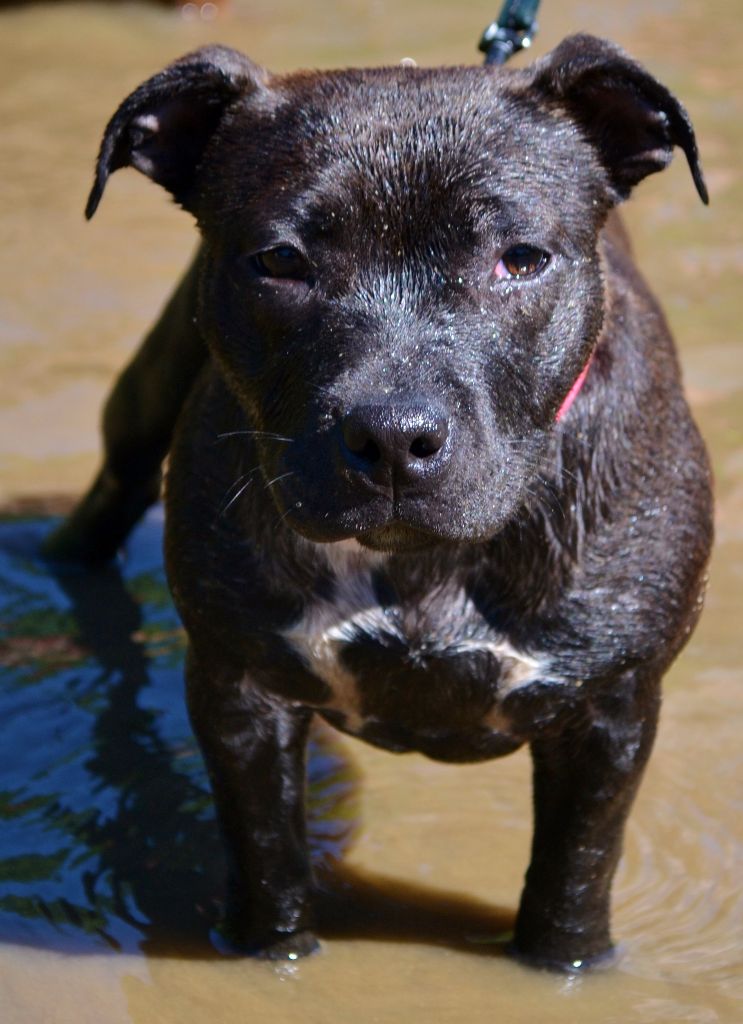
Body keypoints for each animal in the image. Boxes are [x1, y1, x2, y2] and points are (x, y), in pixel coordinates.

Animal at [46, 36, 716, 970]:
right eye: (280, 260)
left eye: (520, 259)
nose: (393, 434)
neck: (418, 568)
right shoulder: (241, 693)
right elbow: (269, 864)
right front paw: (272, 952)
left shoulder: (608, 713)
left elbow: (572, 881)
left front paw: (565, 961)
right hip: (140, 415)